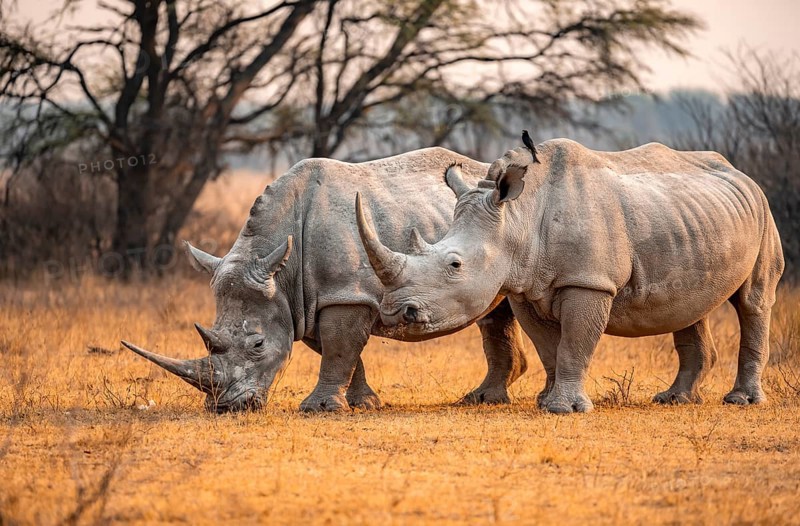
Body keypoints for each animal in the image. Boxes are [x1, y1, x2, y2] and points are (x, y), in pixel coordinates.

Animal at [122, 148, 528, 412]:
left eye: (257, 345)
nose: (227, 407)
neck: (280, 268)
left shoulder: (344, 292)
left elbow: (339, 347)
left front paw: (318, 408)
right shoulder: (305, 299)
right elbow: (340, 351)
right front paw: (364, 403)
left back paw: (482, 400)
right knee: (495, 311)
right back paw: (486, 397)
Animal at [356, 133, 785, 413]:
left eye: (454, 265)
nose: (395, 314)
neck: (519, 216)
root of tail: (740, 172)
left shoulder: (589, 283)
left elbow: (575, 342)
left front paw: (565, 409)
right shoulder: (525, 286)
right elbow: (550, 347)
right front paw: (547, 402)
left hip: (764, 212)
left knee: (754, 300)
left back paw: (741, 402)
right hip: (694, 222)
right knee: (691, 304)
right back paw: (674, 400)